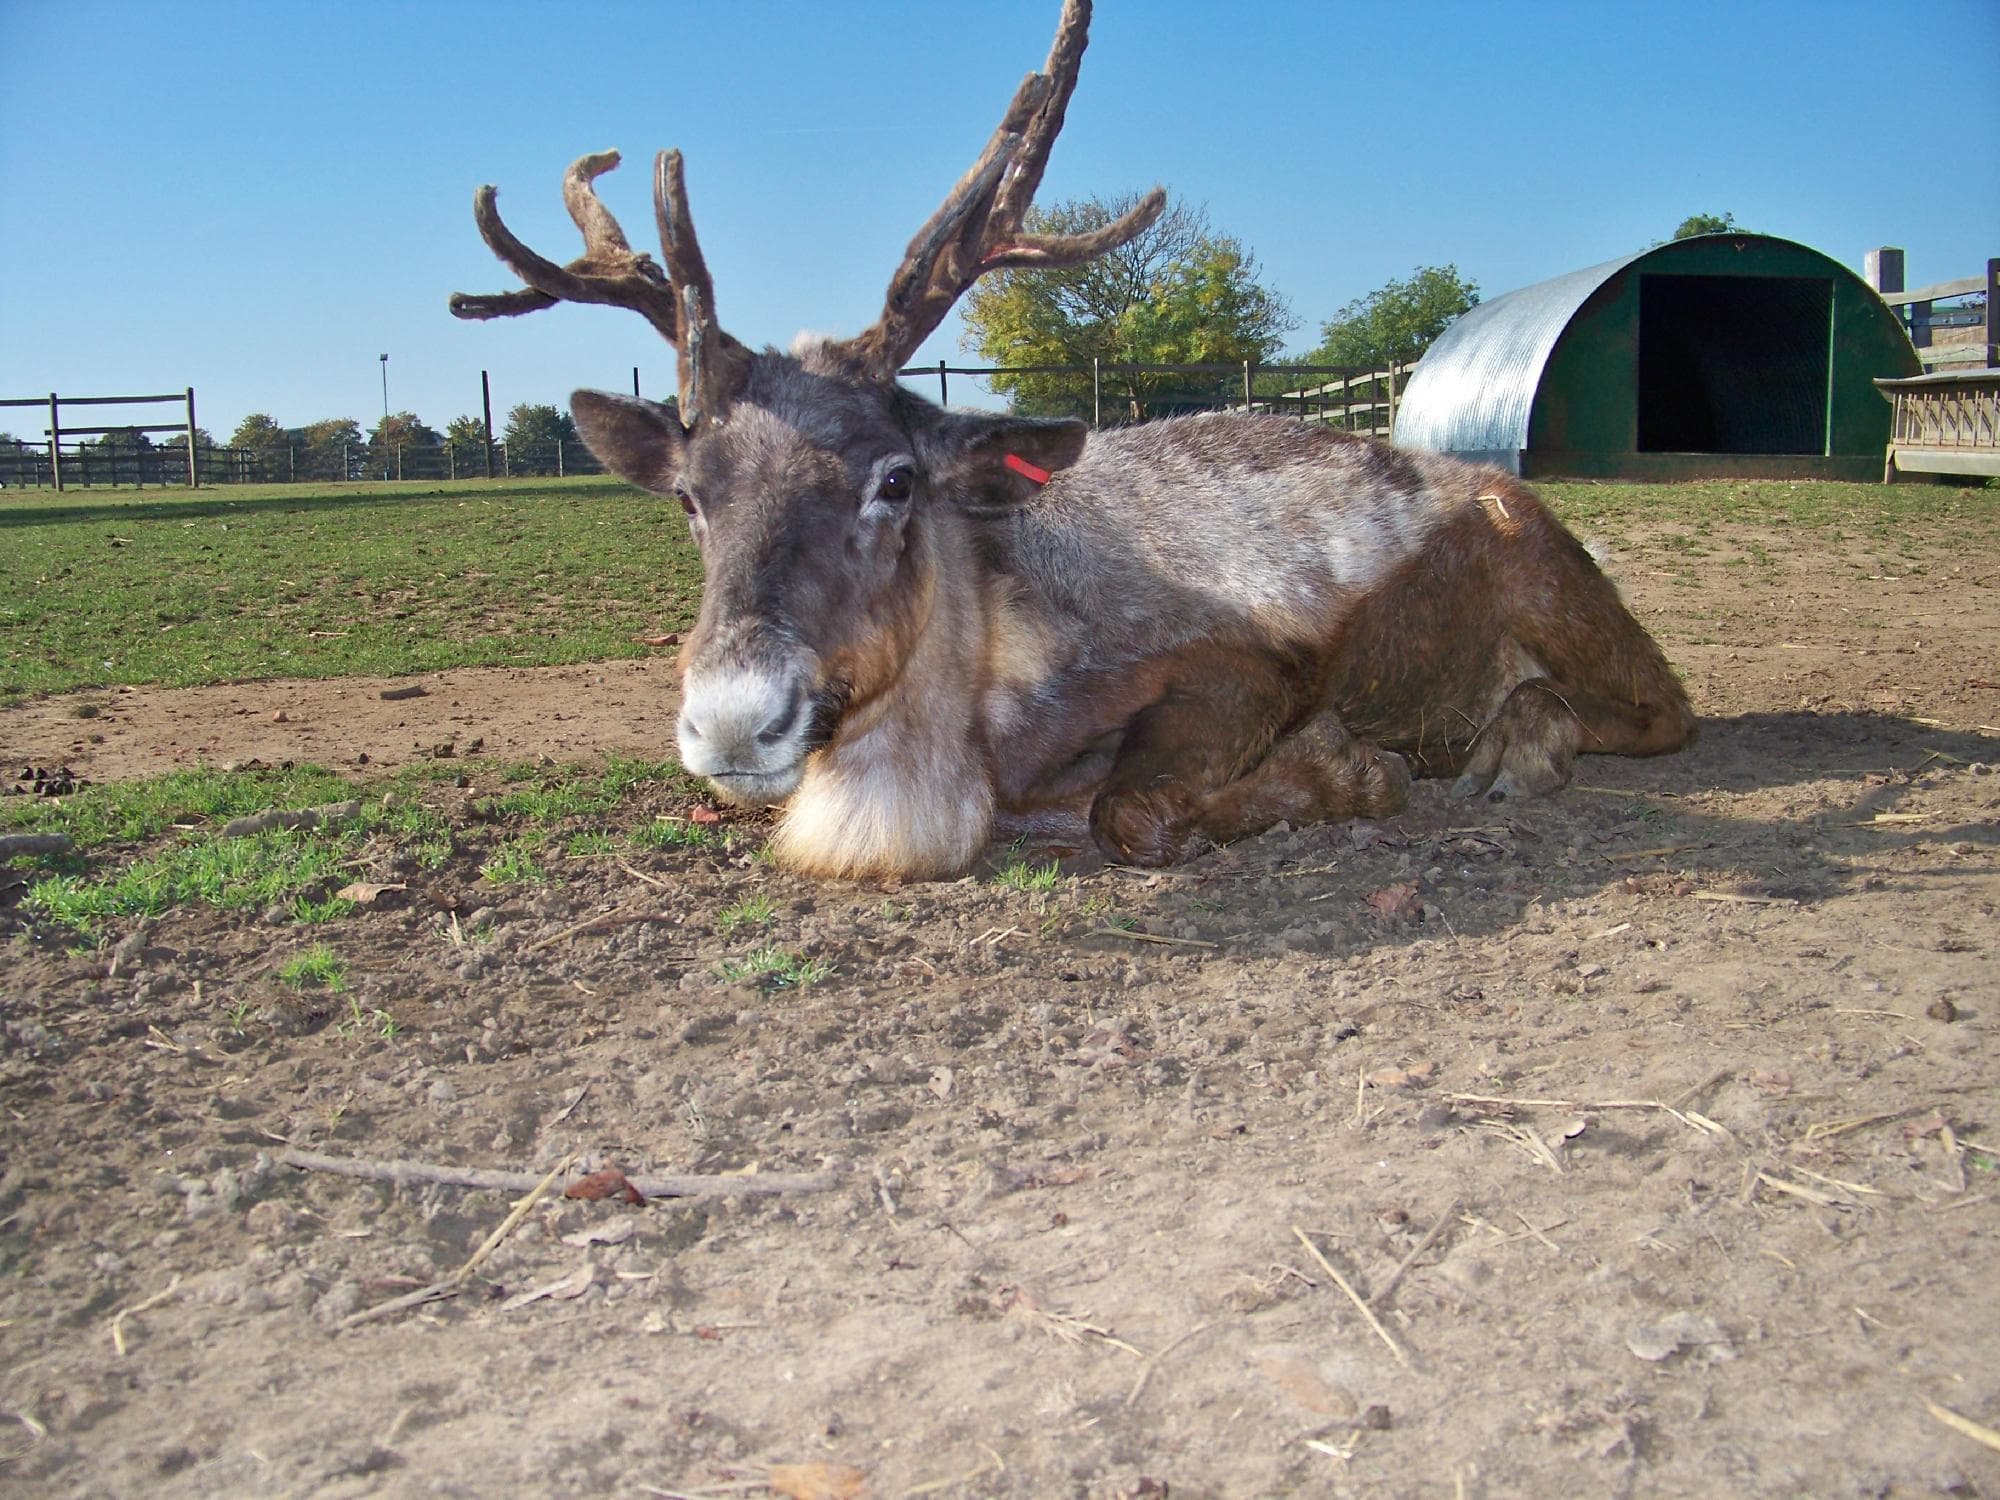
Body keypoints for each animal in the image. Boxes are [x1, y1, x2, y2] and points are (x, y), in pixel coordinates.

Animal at [450, 0, 1696, 880]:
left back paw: (1507, 748)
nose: (731, 720)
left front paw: (1346, 770)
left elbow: (1128, 810)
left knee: (1656, 709)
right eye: (689, 496)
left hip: (1548, 568)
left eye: (894, 481)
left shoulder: (1241, 664)